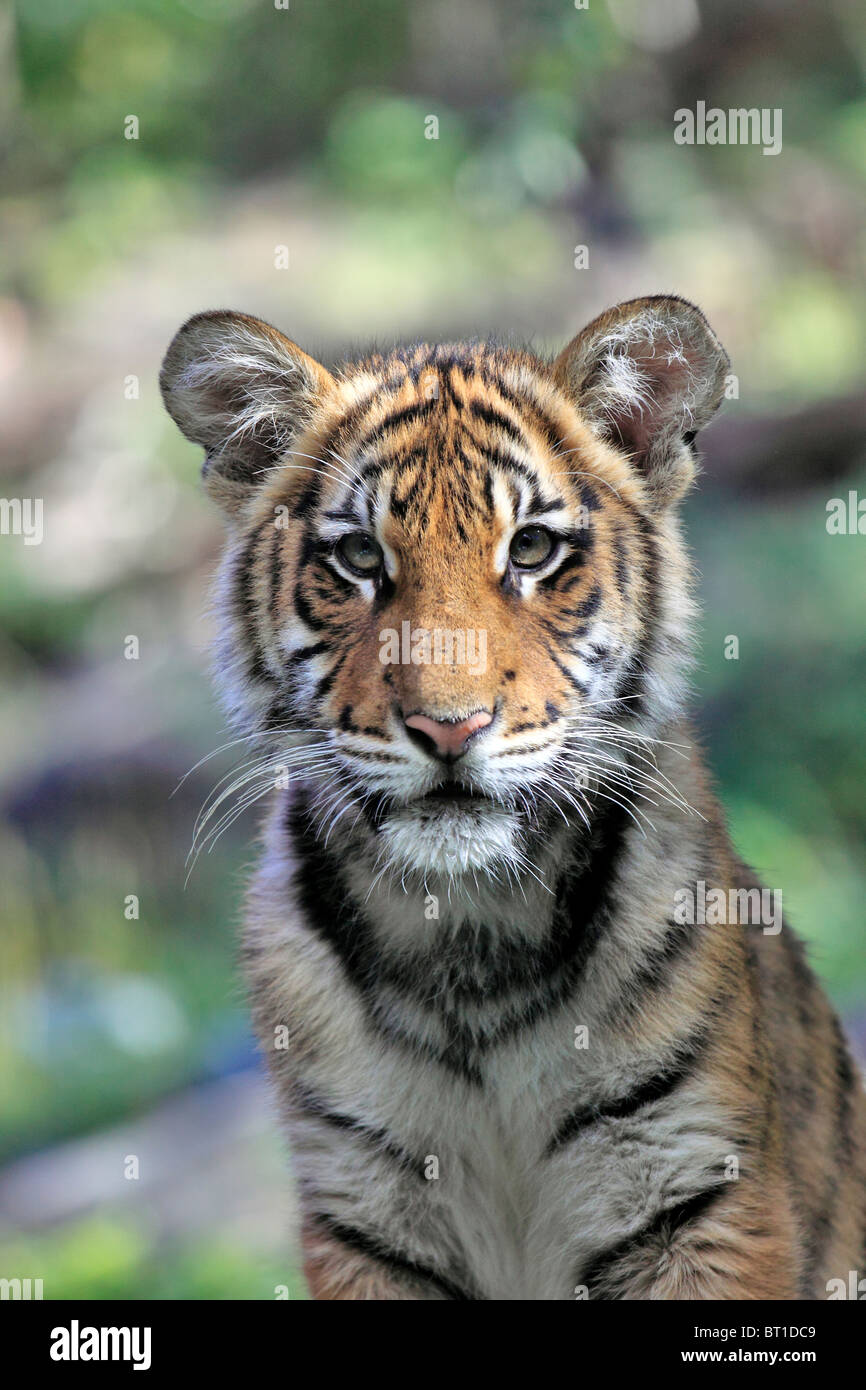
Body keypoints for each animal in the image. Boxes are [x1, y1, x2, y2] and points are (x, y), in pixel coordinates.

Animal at [161, 296, 866, 1301]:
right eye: (359, 557)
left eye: (530, 548)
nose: (449, 727)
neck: (469, 934)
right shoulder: (364, 1217)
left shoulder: (701, 1197)